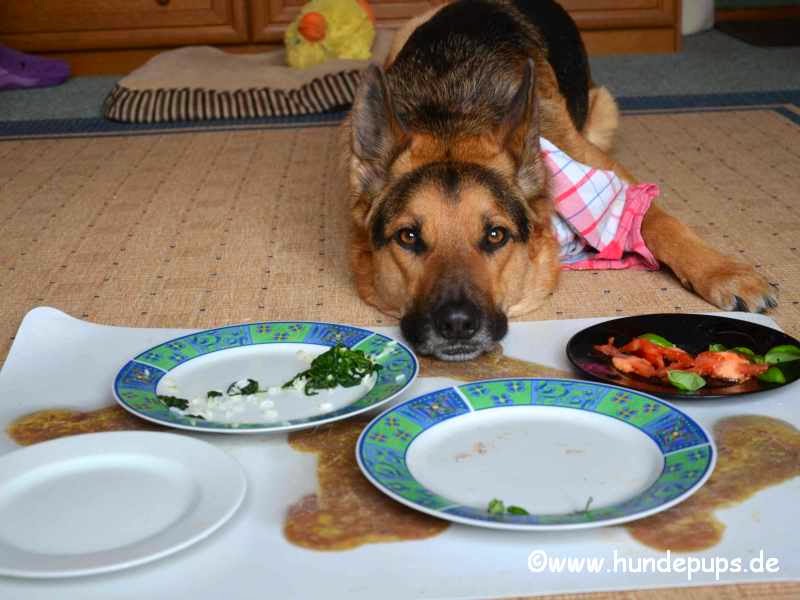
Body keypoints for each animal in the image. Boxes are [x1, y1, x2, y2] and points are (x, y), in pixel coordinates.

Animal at [345, 0, 777, 361]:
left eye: (495, 235)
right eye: (408, 237)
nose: (456, 324)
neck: (450, 117)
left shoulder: (605, 172)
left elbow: (656, 219)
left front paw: (724, 274)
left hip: (603, 111)